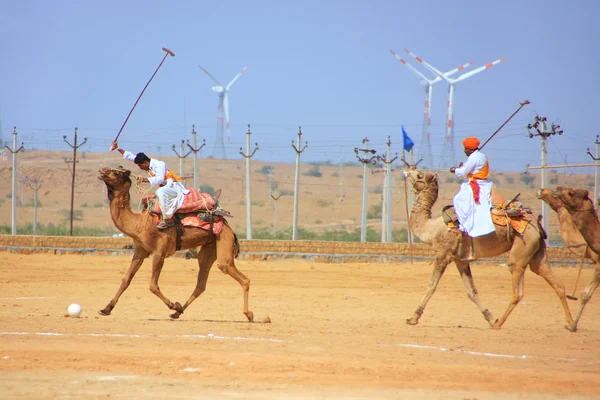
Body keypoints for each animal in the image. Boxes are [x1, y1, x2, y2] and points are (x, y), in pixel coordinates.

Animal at [95, 166, 253, 322]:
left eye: (116, 172)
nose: (101, 171)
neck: (138, 223)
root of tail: (229, 228)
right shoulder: (141, 250)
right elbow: (126, 279)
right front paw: (106, 309)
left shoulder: (159, 252)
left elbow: (153, 285)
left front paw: (173, 305)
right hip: (209, 247)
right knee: (201, 283)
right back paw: (178, 313)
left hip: (224, 241)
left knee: (238, 275)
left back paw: (249, 314)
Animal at [400, 166, 576, 332]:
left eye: (420, 174)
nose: (407, 170)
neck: (431, 229)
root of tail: (536, 227)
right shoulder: (460, 260)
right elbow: (472, 291)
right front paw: (490, 317)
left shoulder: (443, 255)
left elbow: (431, 286)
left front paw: (413, 318)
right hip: (538, 254)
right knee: (557, 284)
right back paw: (572, 324)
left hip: (522, 248)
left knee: (518, 290)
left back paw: (499, 324)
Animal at [548, 188, 600, 328]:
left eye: (571, 192)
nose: (556, 189)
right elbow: (585, 294)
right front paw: (572, 324)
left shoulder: (599, 265)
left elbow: (585, 294)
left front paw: (572, 324)